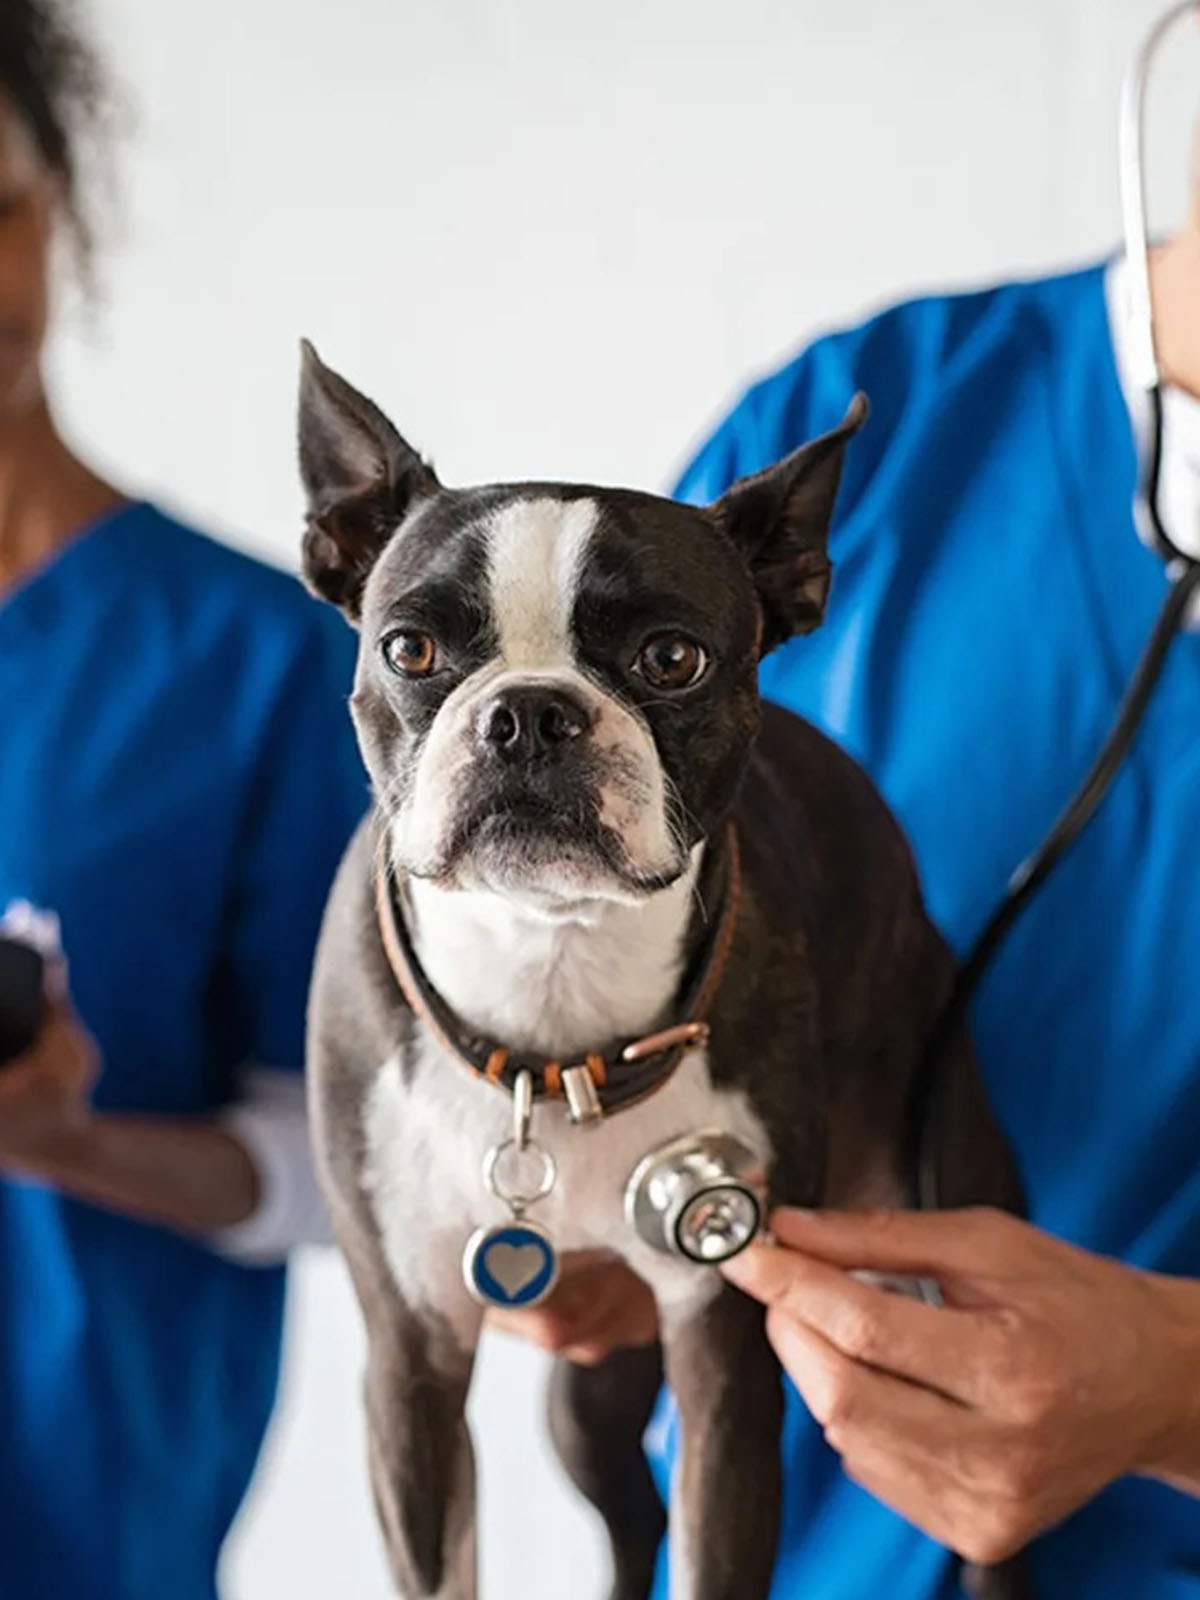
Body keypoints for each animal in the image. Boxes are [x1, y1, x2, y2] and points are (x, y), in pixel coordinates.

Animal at [296, 340, 1030, 1600]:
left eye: (671, 658)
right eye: (409, 650)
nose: (528, 714)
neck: (552, 992)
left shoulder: (723, 1349)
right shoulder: (411, 1356)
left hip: (942, 1209)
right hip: (586, 1396)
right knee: (629, 1516)